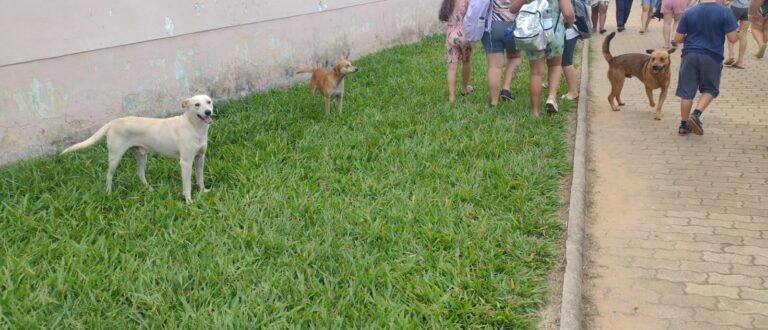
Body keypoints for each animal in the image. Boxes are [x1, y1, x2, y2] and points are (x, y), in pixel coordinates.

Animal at [60, 94, 214, 202]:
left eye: (209, 102)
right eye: (196, 104)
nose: (208, 112)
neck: (193, 127)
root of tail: (113, 122)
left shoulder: (200, 158)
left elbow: (200, 177)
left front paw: (203, 191)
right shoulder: (186, 163)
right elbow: (187, 185)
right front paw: (188, 201)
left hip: (141, 155)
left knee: (139, 173)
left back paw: (149, 188)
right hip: (115, 157)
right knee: (109, 175)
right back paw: (109, 192)